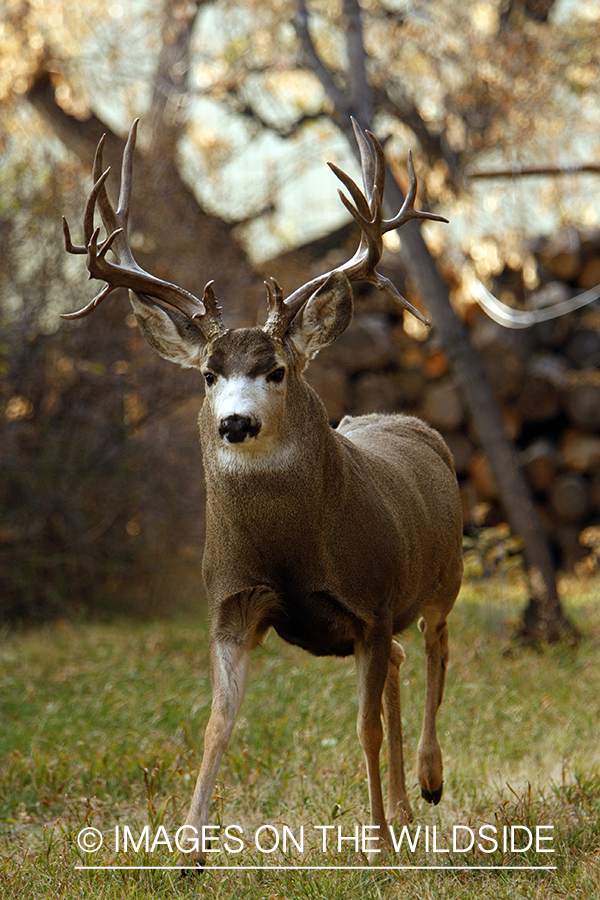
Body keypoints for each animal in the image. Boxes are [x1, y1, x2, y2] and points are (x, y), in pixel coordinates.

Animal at [62, 118, 463, 865]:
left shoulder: (368, 603)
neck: (290, 550)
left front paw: (373, 841)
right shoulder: (231, 604)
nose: (236, 422)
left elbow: (363, 726)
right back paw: (403, 807)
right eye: (207, 375)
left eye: (277, 370)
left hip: (443, 576)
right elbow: (217, 722)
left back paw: (427, 783)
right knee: (402, 661)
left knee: (434, 646)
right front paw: (187, 850)